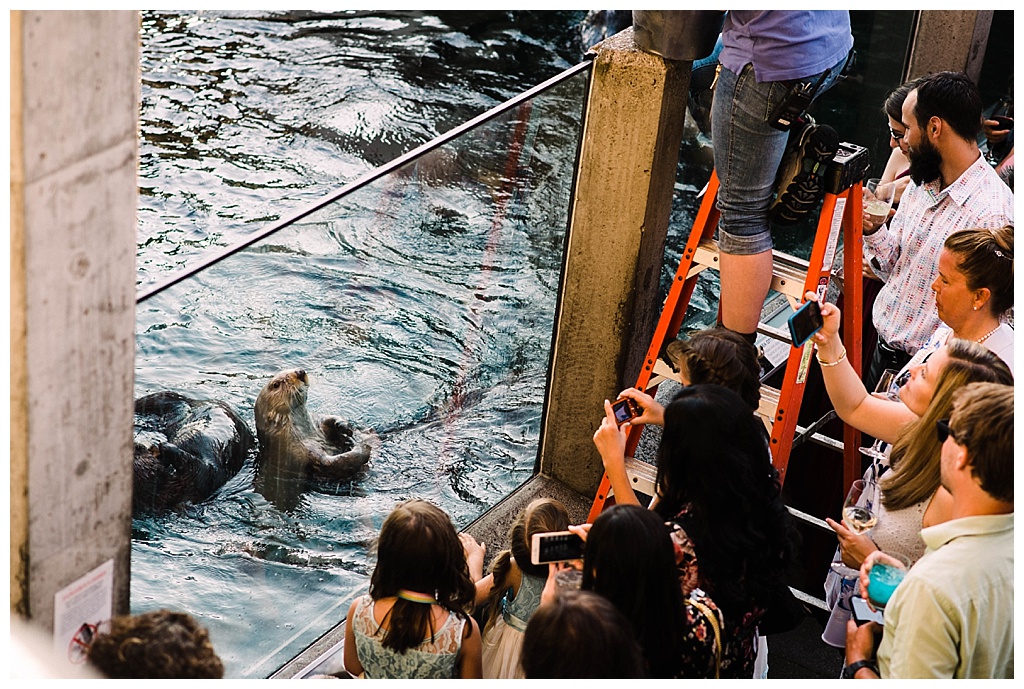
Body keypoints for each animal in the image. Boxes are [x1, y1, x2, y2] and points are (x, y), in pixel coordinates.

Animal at [253, 368, 374, 507]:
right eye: (276, 384)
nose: (300, 371)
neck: (308, 433)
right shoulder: (301, 452)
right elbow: (333, 463)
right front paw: (362, 449)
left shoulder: (317, 422)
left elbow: (329, 418)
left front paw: (344, 427)